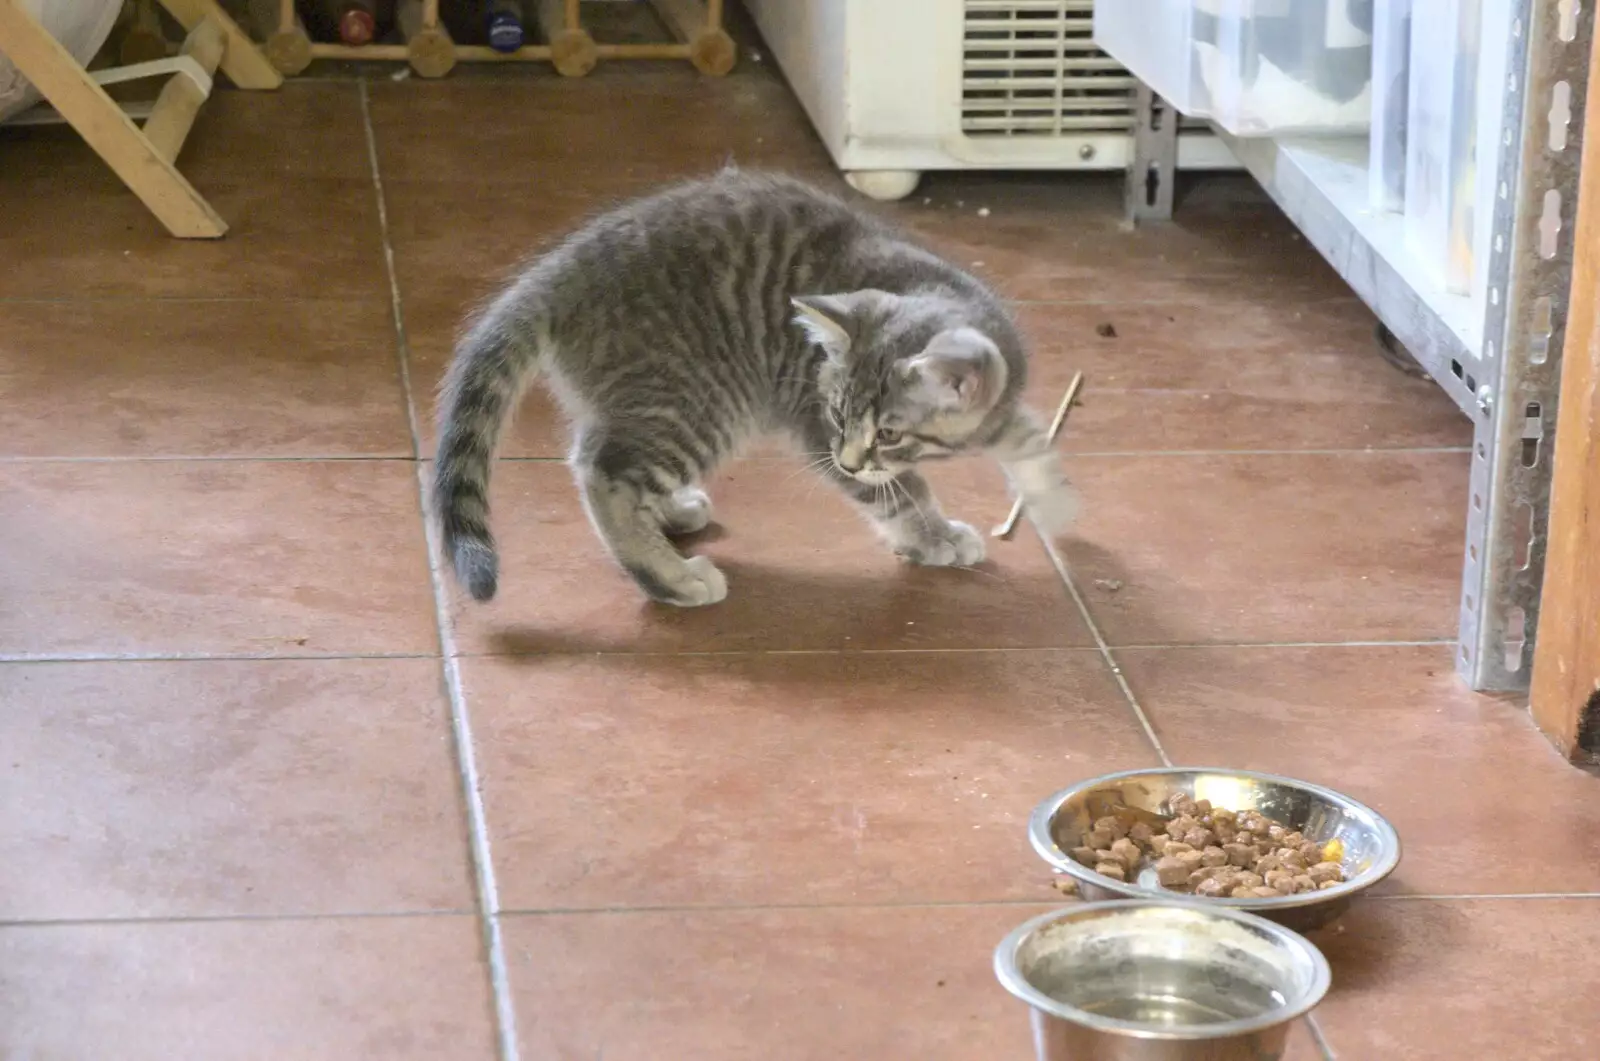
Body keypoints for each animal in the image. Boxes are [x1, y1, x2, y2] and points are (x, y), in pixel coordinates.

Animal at [432, 172, 1075, 604]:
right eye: (838, 416)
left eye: (889, 432)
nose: (849, 460)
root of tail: (560, 271)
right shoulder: (814, 429)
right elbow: (903, 491)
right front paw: (932, 536)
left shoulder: (1000, 400)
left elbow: (1028, 438)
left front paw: (1053, 499)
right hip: (701, 402)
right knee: (603, 472)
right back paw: (668, 577)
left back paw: (669, 514)